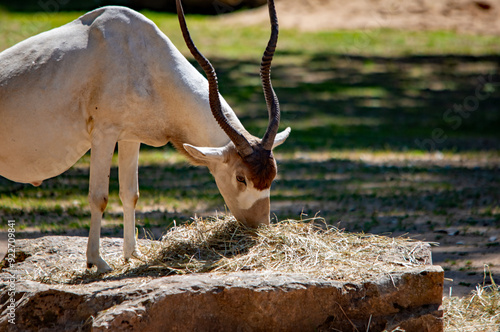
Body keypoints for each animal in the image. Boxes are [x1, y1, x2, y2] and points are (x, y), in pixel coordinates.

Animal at [0, 0, 290, 272]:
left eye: (273, 176)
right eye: (240, 178)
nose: (259, 228)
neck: (141, 58)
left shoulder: (130, 137)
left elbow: (130, 194)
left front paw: (133, 254)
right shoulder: (104, 134)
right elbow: (99, 197)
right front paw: (98, 262)